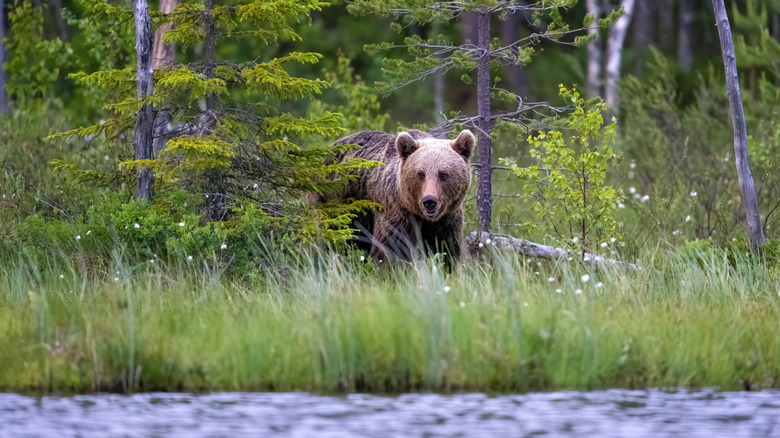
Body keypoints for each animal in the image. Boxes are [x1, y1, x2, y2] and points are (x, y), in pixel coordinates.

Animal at [310, 129, 476, 266]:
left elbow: (446, 248)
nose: (429, 201)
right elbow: (391, 248)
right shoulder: (395, 209)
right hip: (333, 202)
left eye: (443, 174)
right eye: (420, 173)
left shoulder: (446, 217)